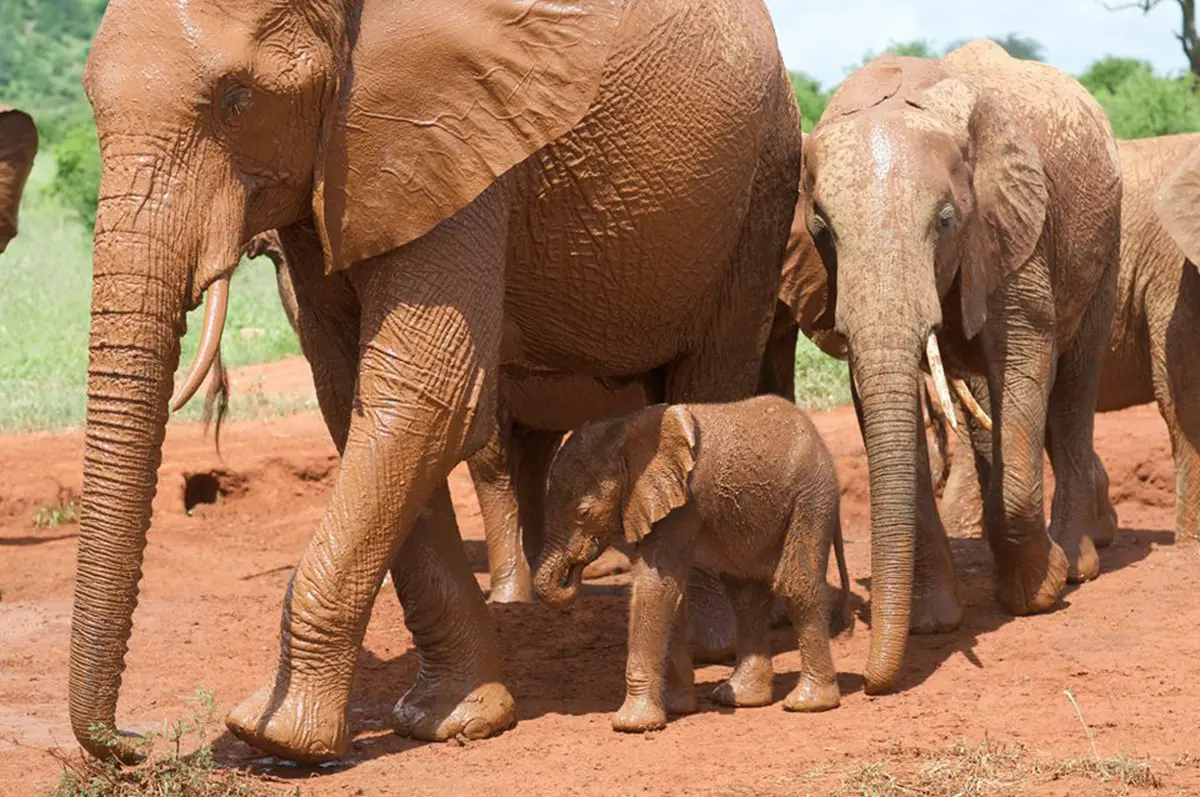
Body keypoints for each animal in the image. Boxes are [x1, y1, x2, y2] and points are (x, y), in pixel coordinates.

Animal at [70, 0, 801, 763]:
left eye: (236, 100)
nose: (139, 742)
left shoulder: (452, 137)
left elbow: (426, 397)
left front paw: (275, 735)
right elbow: (353, 398)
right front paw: (455, 720)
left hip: (761, 188)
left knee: (716, 370)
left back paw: (713, 645)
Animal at [530, 396, 849, 729]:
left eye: (584, 512)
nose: (576, 570)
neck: (623, 431)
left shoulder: (683, 502)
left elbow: (655, 586)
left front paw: (633, 725)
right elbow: (671, 592)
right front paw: (677, 707)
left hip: (812, 497)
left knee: (796, 587)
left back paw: (808, 704)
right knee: (746, 597)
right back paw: (741, 698)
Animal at [796, 42, 1123, 696]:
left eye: (946, 220)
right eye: (821, 229)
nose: (865, 684)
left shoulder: (1013, 230)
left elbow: (1025, 353)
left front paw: (1040, 592)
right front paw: (930, 623)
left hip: (1104, 238)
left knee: (1074, 385)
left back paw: (1078, 563)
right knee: (980, 402)